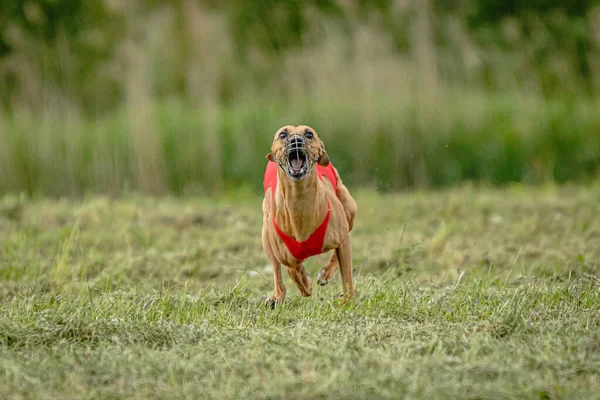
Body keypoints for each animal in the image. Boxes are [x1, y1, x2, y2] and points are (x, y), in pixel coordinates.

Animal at [262, 125, 356, 306]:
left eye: (309, 134)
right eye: (282, 134)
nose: (296, 141)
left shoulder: (342, 240)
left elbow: (347, 276)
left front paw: (347, 302)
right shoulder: (286, 255)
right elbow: (293, 269)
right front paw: (306, 284)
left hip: (349, 209)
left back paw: (324, 274)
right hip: (266, 238)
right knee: (278, 271)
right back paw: (277, 296)